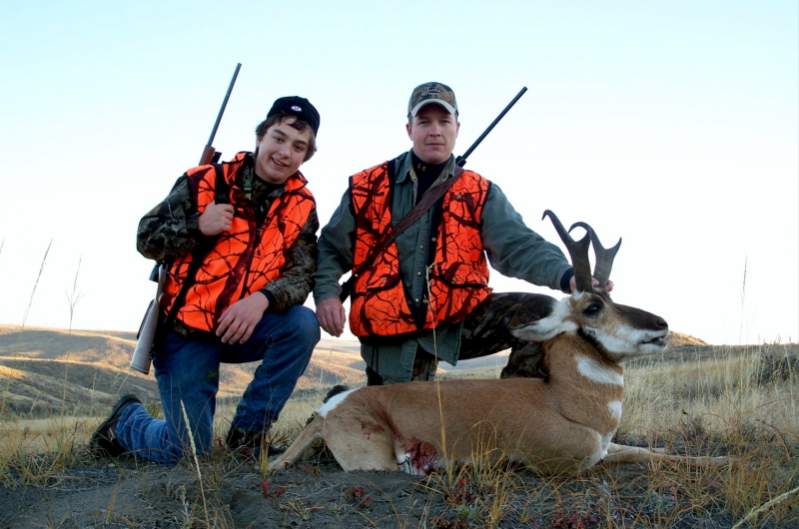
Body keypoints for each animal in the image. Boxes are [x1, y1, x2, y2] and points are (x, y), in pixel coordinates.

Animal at [272, 210, 728, 474]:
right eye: (593, 306)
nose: (662, 324)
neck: (563, 400)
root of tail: (333, 408)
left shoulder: (607, 444)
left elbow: (651, 451)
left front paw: (723, 457)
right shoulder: (579, 459)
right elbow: (632, 455)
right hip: (375, 460)